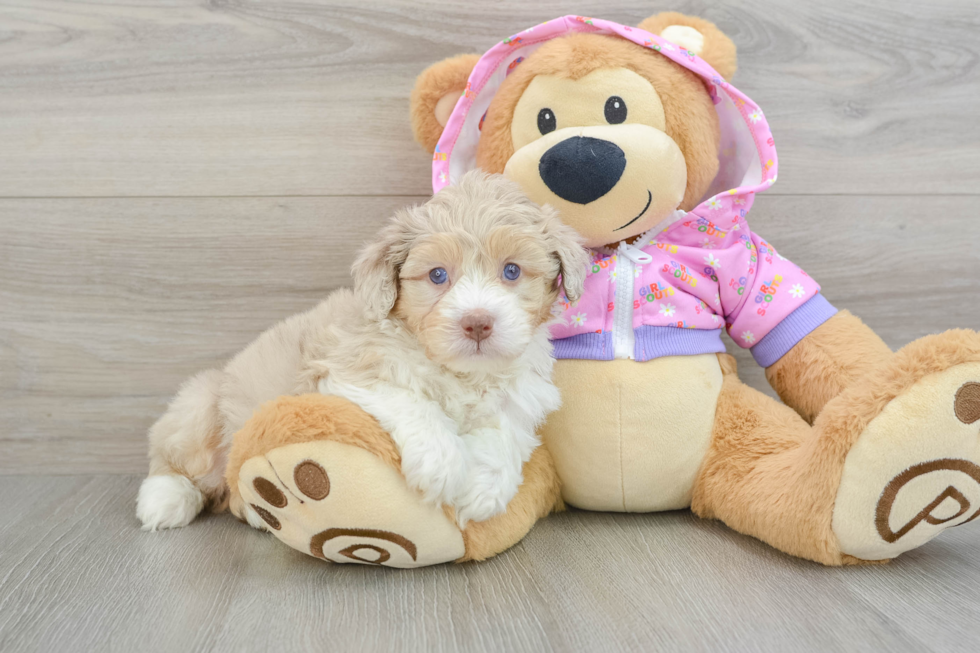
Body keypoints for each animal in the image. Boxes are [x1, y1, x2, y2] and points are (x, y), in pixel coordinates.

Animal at [135, 172, 584, 528]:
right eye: (438, 275)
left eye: (512, 270)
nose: (477, 322)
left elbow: (506, 433)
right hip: (200, 407)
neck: (462, 372)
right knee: (174, 459)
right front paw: (442, 464)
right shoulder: (345, 370)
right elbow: (411, 402)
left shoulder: (521, 396)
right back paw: (165, 500)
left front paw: (483, 491)